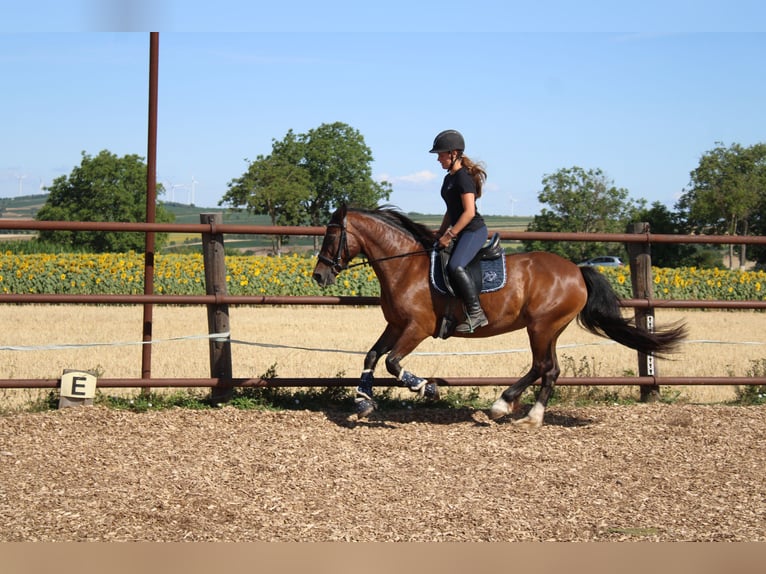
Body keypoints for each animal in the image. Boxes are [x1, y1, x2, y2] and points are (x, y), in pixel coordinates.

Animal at [312, 205, 687, 428]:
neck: (405, 265)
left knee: (541, 366)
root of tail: (577, 271)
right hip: (550, 328)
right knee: (551, 370)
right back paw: (530, 415)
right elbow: (373, 355)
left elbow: (392, 362)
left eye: (332, 235)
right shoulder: (396, 324)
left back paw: (504, 406)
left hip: (541, 326)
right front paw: (363, 402)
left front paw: (427, 389)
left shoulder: (417, 327)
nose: (318, 275)